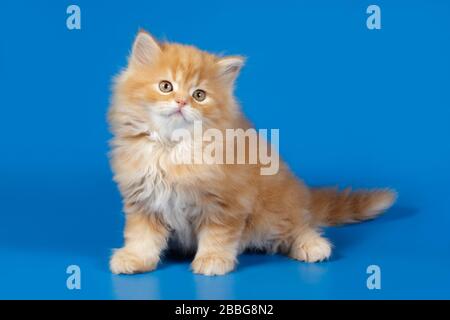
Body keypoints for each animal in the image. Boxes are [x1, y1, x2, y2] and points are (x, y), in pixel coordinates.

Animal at [108, 30, 394, 276]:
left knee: (297, 225)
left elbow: (218, 236)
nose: (181, 102)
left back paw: (313, 246)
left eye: (199, 95)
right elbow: (142, 237)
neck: (172, 149)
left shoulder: (227, 203)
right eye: (166, 86)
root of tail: (299, 192)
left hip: (271, 211)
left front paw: (212, 260)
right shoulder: (142, 200)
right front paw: (135, 258)